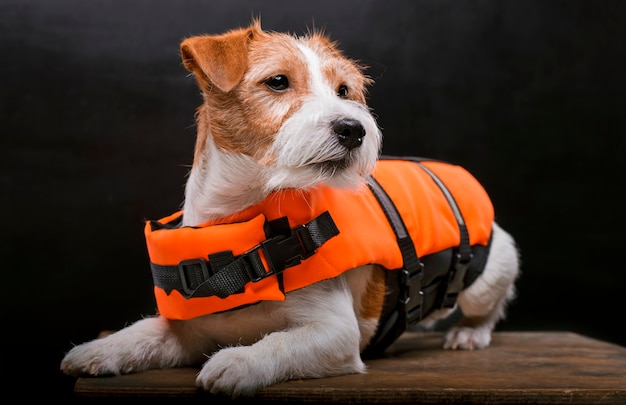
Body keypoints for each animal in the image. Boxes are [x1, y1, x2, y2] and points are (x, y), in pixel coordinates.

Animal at [59, 20, 516, 396]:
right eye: (278, 81)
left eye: (343, 91)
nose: (354, 129)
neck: (240, 222)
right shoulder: (188, 331)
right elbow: (143, 332)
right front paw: (98, 349)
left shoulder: (335, 333)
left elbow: (280, 342)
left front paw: (240, 360)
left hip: (493, 271)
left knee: (487, 308)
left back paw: (469, 334)